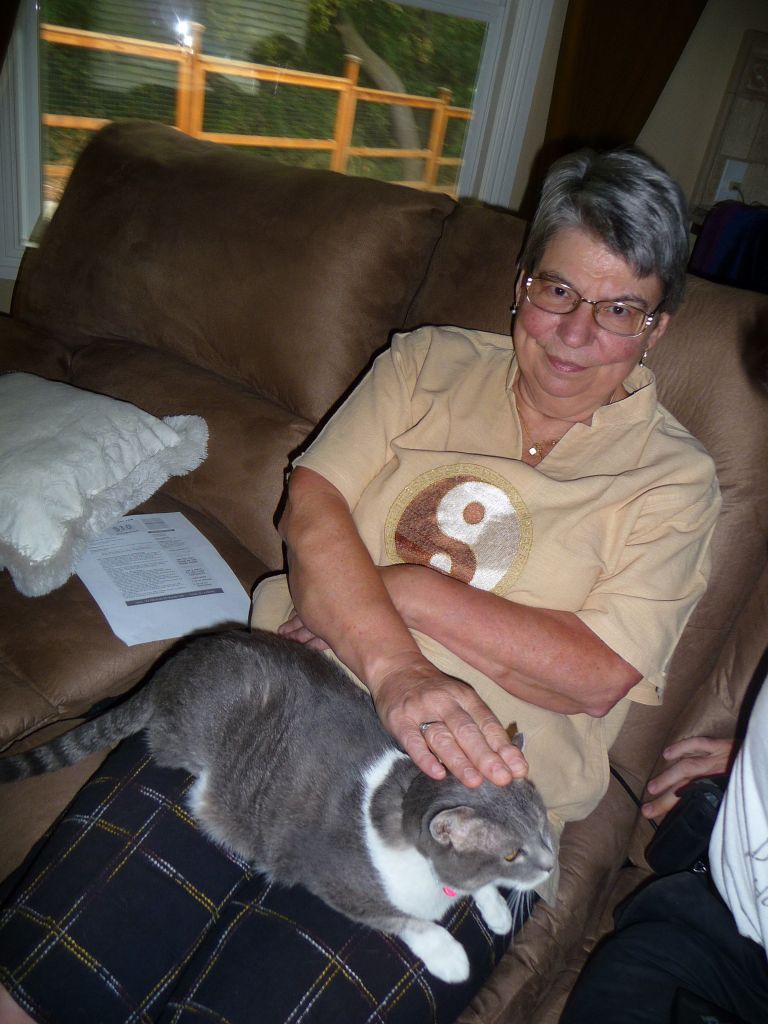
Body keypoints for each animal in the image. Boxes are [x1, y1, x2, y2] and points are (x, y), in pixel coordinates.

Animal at [0, 626, 552, 978]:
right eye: (511, 853)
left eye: (546, 827)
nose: (551, 866)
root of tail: (174, 662)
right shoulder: (336, 880)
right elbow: (402, 919)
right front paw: (450, 956)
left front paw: (496, 911)